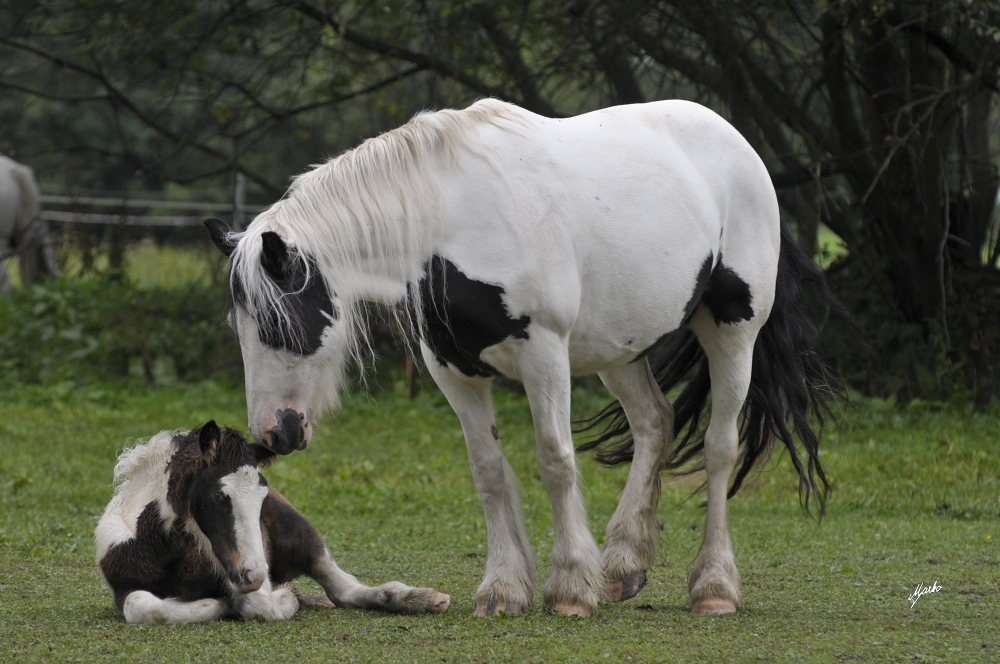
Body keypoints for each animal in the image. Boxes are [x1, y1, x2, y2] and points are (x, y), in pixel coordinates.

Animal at [96, 420, 450, 624]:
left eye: (261, 496)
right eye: (220, 497)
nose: (253, 574)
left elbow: (258, 604)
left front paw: (285, 598)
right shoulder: (123, 588)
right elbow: (145, 606)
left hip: (300, 534)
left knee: (345, 590)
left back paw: (422, 599)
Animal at [205, 98, 844, 616]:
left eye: (279, 322)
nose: (274, 433)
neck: (454, 221)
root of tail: (740, 146)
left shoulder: (544, 356)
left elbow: (555, 461)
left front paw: (570, 589)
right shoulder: (453, 371)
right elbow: (489, 472)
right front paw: (506, 588)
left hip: (732, 331)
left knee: (718, 448)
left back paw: (713, 587)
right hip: (618, 348)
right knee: (655, 424)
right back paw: (623, 563)